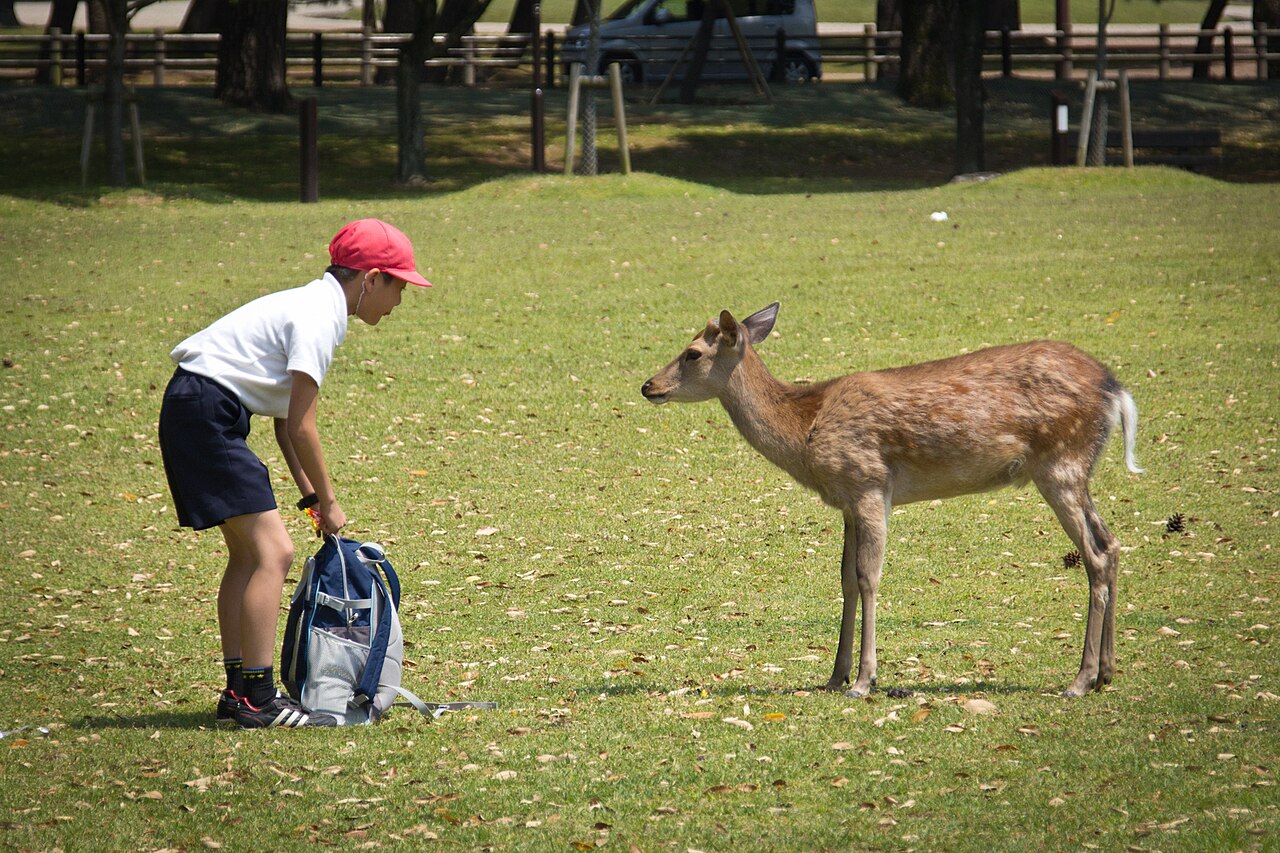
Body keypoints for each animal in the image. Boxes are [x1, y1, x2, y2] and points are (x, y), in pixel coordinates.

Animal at [640, 303, 1143, 699]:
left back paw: (1079, 680)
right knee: (1113, 543)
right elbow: (844, 579)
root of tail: (1116, 391)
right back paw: (1107, 673)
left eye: (692, 352)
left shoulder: (868, 483)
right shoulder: (845, 501)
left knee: (1095, 555)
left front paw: (864, 681)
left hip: (1059, 464)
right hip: (1077, 471)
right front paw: (834, 676)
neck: (805, 431)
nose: (648, 385)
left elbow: (868, 578)